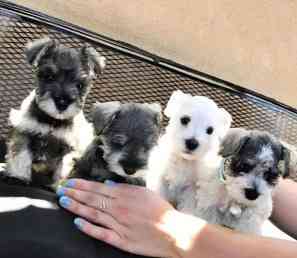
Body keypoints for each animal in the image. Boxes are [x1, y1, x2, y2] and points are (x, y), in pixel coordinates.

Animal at [5, 37, 106, 186]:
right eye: (49, 77)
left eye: (80, 85)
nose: (62, 104)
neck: (53, 120)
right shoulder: (25, 133)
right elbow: (21, 155)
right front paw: (18, 176)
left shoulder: (70, 147)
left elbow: (64, 167)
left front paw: (59, 185)